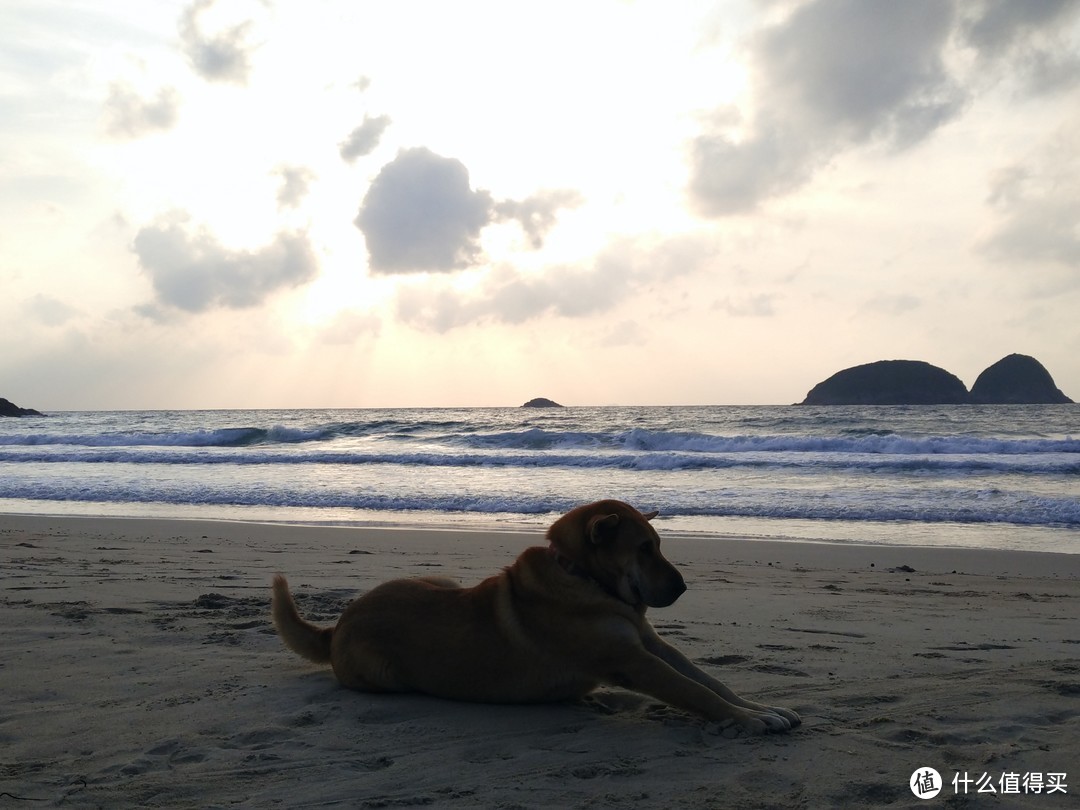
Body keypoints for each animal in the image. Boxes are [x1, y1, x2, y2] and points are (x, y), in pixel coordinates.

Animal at [272, 501, 803, 734]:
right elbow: (695, 692)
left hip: (441, 580)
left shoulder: (650, 644)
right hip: (386, 676)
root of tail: (337, 624)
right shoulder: (633, 660)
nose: (682, 587)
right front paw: (750, 720)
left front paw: (760, 708)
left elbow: (710, 681)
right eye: (644, 548)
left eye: (658, 545)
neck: (585, 578)